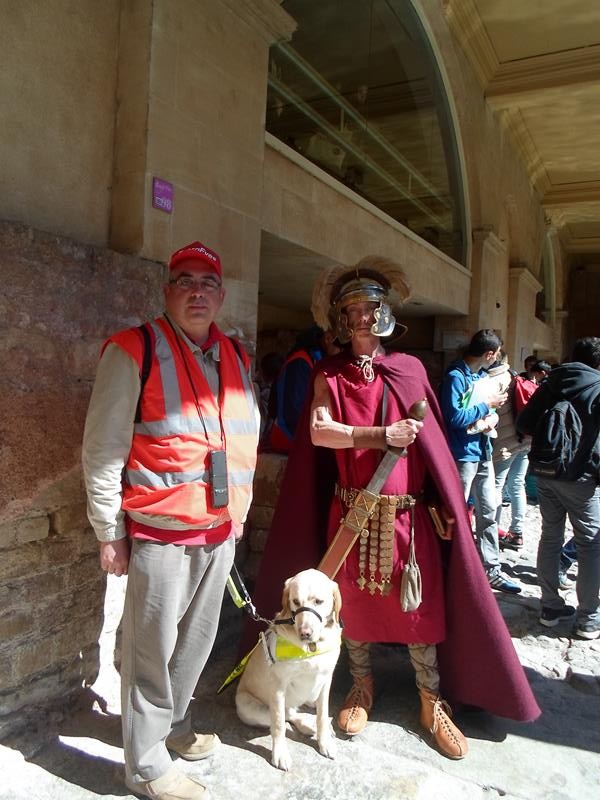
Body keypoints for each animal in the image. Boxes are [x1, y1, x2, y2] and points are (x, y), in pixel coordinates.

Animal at [237, 564, 344, 772]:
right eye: (295, 601)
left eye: (319, 601)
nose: (305, 633)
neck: (312, 647)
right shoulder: (279, 686)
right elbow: (278, 724)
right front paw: (280, 754)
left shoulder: (326, 679)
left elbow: (322, 714)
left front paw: (324, 741)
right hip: (249, 707)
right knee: (287, 715)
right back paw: (306, 724)